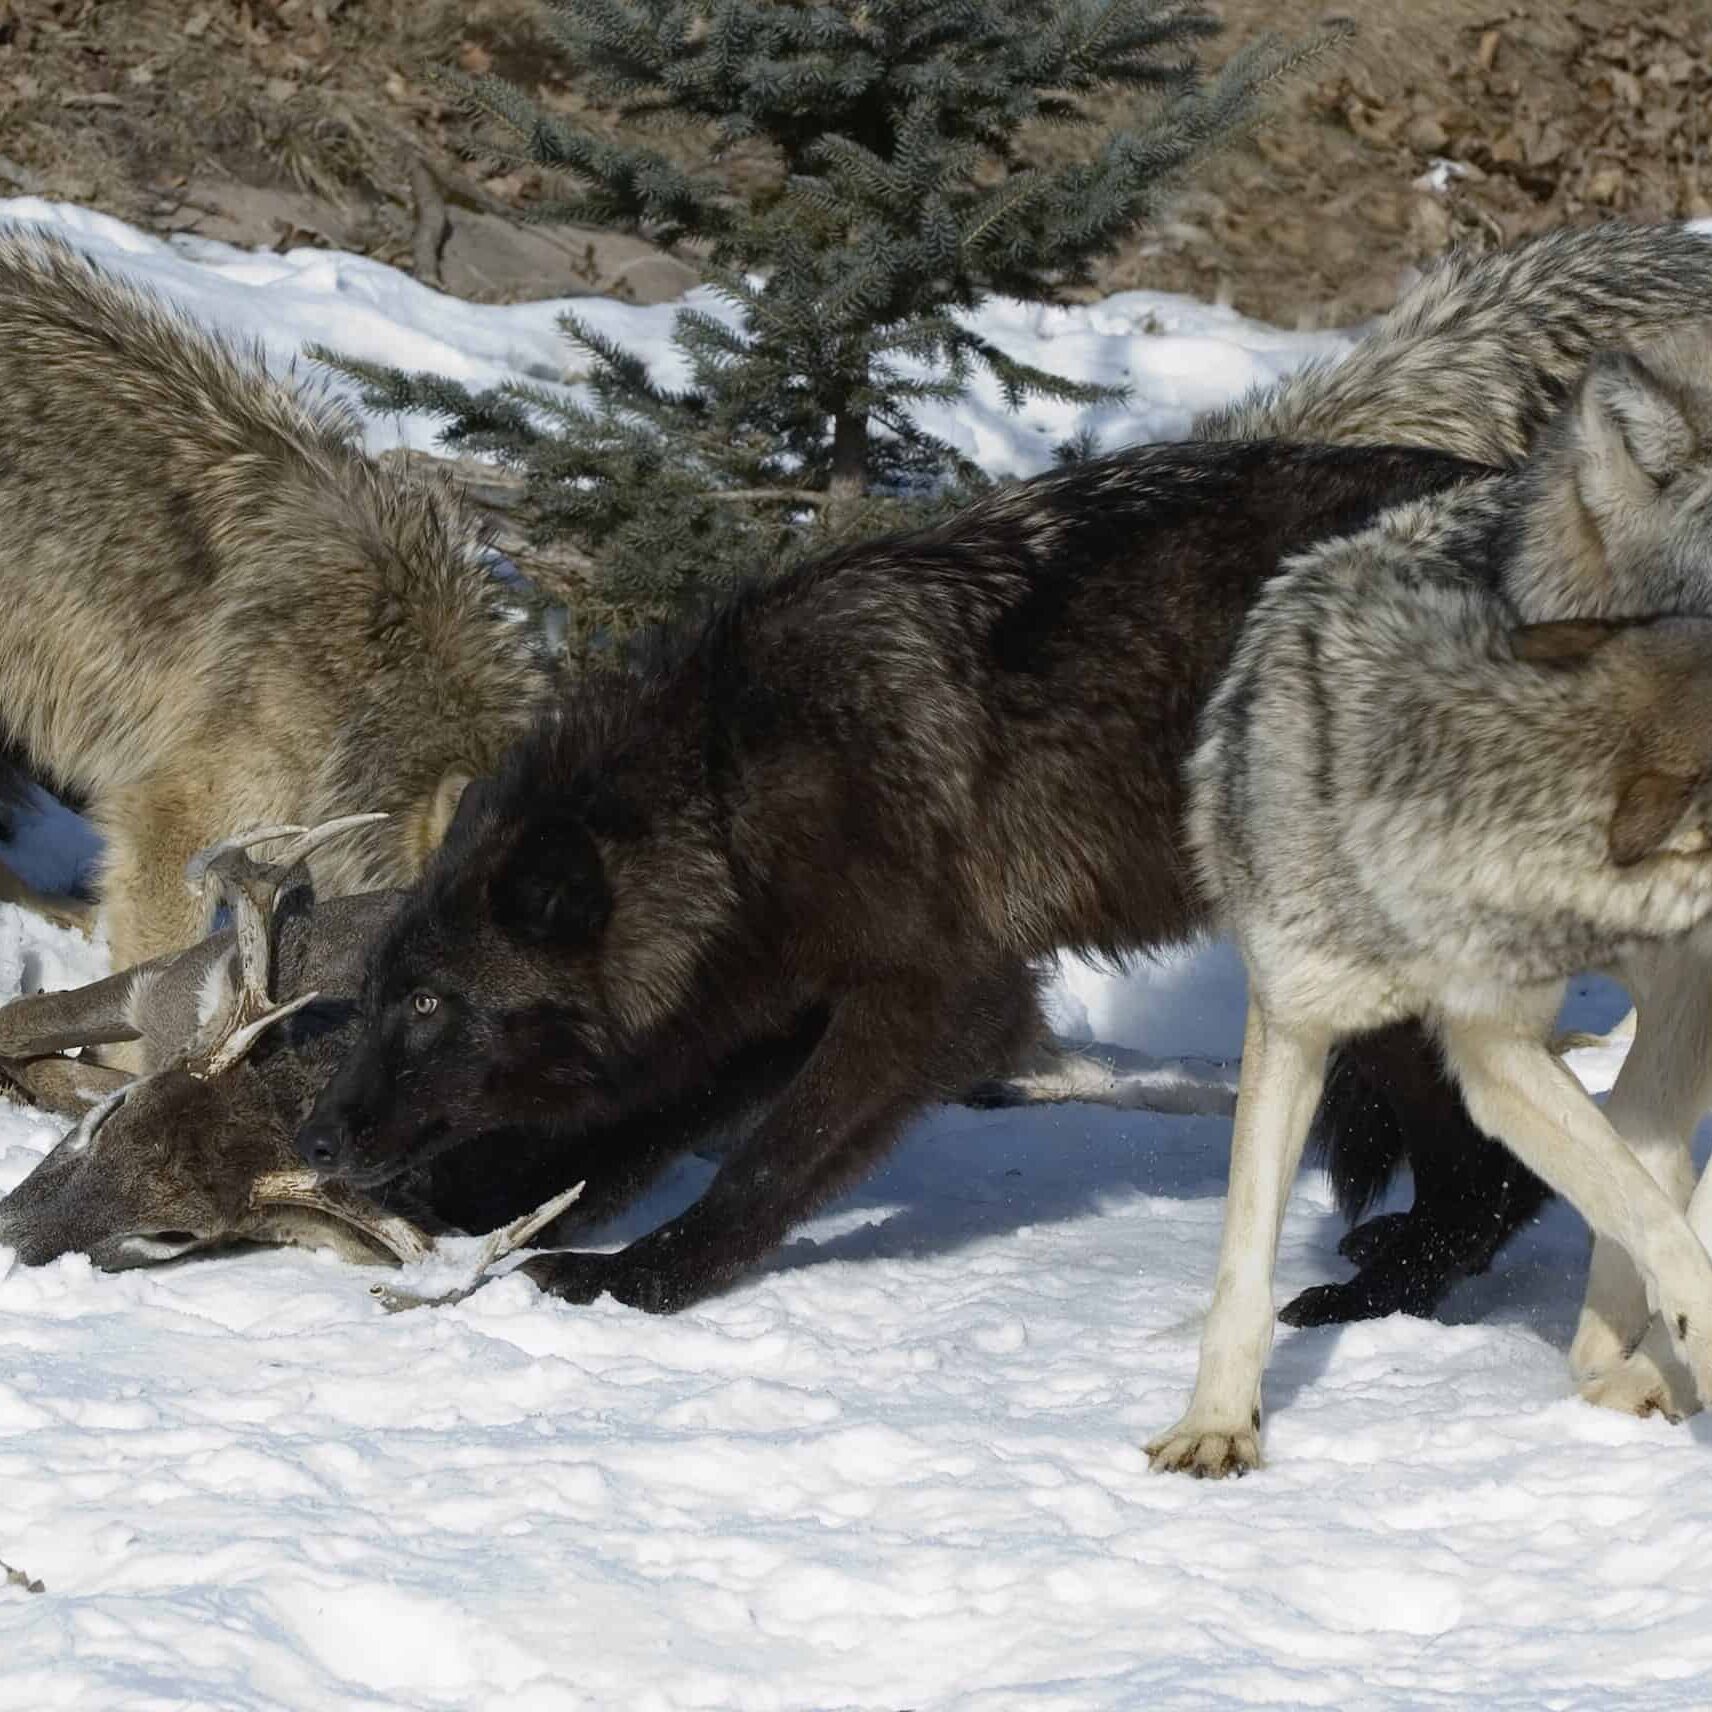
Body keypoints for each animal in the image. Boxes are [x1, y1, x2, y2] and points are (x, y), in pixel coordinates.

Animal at [1152, 328, 1712, 1475]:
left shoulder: (1664, 983)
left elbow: (1640, 1170)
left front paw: (1635, 1352)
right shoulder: (1325, 1018)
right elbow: (1243, 1255)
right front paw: (1215, 1423)